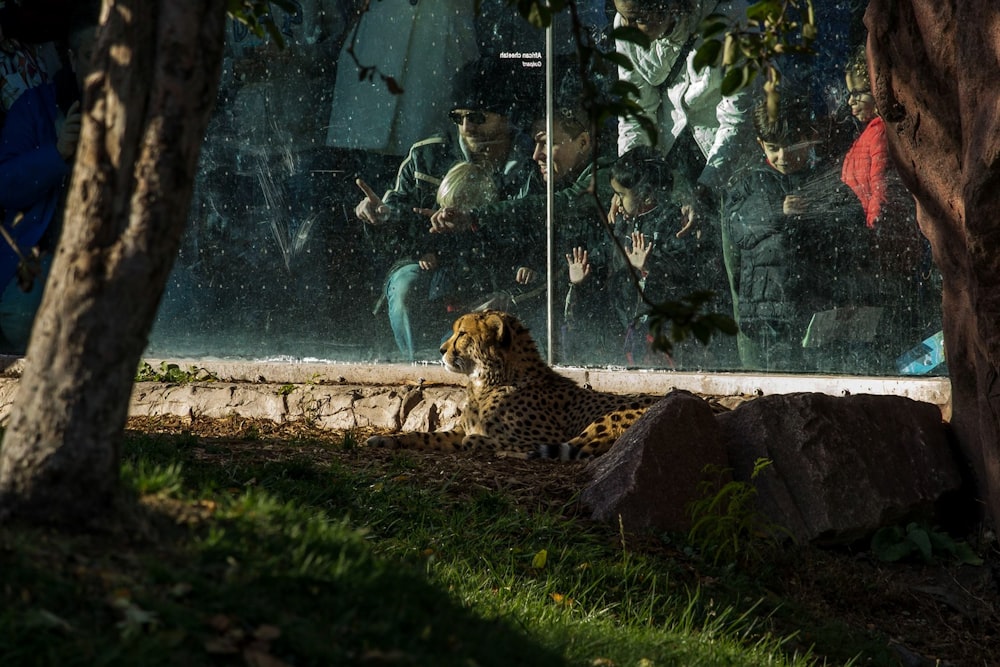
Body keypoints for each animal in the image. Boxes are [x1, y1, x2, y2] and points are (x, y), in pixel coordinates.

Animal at [368, 310, 664, 460]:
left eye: (462, 334)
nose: (441, 350)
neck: (488, 381)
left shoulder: (546, 434)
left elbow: (475, 439)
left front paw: (488, 444)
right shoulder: (457, 431)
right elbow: (426, 436)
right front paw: (387, 440)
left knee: (573, 452)